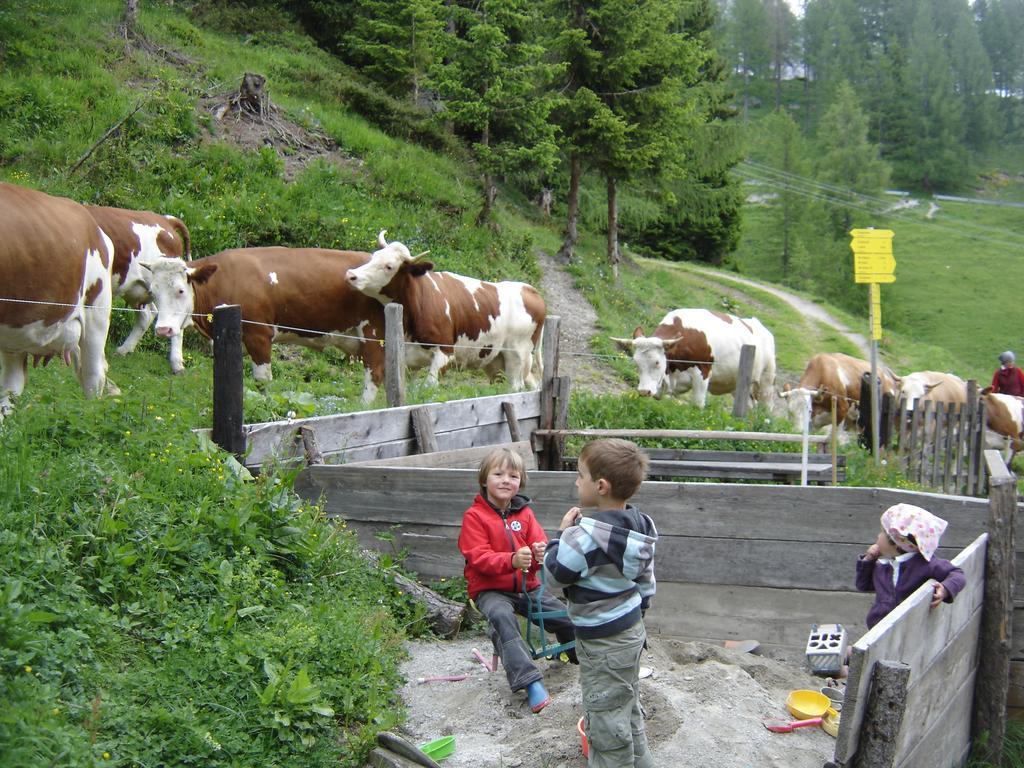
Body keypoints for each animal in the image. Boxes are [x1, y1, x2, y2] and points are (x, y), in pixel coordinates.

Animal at [149, 249, 389, 405]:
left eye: (180, 290)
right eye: (152, 292)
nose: (163, 330)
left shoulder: (259, 334)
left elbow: (262, 381)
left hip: (374, 334)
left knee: (374, 374)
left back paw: (363, 407)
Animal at [606, 309, 774, 411]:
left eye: (657, 362)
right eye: (636, 363)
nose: (643, 391)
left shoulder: (702, 374)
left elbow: (697, 405)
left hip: (767, 380)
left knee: (766, 406)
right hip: (739, 383)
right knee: (750, 405)